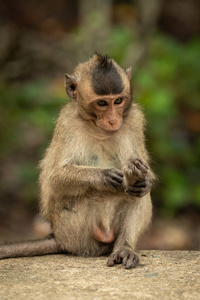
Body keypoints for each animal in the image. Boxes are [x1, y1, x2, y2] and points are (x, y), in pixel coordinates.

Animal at [0, 52, 155, 268]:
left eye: (118, 101)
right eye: (102, 103)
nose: (113, 120)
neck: (98, 129)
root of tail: (59, 237)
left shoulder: (134, 120)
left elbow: (144, 171)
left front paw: (143, 178)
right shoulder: (67, 123)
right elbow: (55, 178)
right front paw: (103, 176)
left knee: (137, 194)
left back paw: (125, 247)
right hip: (73, 228)